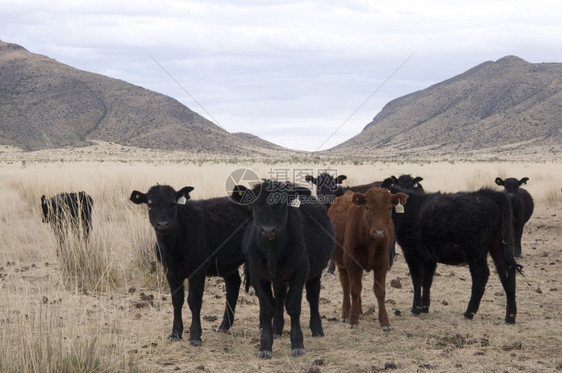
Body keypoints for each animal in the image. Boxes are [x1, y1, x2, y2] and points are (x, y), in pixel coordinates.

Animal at [130, 185, 248, 344]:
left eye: (173, 203)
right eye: (149, 204)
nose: (163, 224)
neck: (172, 249)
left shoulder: (198, 269)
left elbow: (194, 300)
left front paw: (195, 335)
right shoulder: (170, 271)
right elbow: (177, 300)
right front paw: (175, 333)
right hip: (227, 263)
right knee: (233, 284)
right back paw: (224, 326)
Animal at [232, 180, 332, 358]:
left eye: (280, 204)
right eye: (256, 205)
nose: (268, 230)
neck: (272, 252)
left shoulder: (301, 271)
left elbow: (293, 306)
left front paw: (297, 344)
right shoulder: (257, 274)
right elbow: (268, 307)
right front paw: (265, 345)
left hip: (315, 273)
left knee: (313, 297)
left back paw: (317, 328)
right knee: (279, 297)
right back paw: (277, 328)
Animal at [328, 187, 406, 330]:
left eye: (389, 208)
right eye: (367, 207)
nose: (379, 232)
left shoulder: (382, 263)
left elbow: (379, 291)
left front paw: (385, 322)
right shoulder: (352, 262)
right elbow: (354, 290)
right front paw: (353, 320)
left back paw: (359, 312)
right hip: (342, 264)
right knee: (346, 285)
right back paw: (346, 314)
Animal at [388, 185, 520, 322]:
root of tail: (487, 194)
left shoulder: (411, 252)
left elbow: (417, 280)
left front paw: (415, 309)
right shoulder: (429, 258)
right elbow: (427, 281)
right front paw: (424, 308)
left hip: (474, 250)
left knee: (481, 274)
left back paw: (469, 313)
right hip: (498, 245)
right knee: (507, 273)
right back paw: (510, 317)